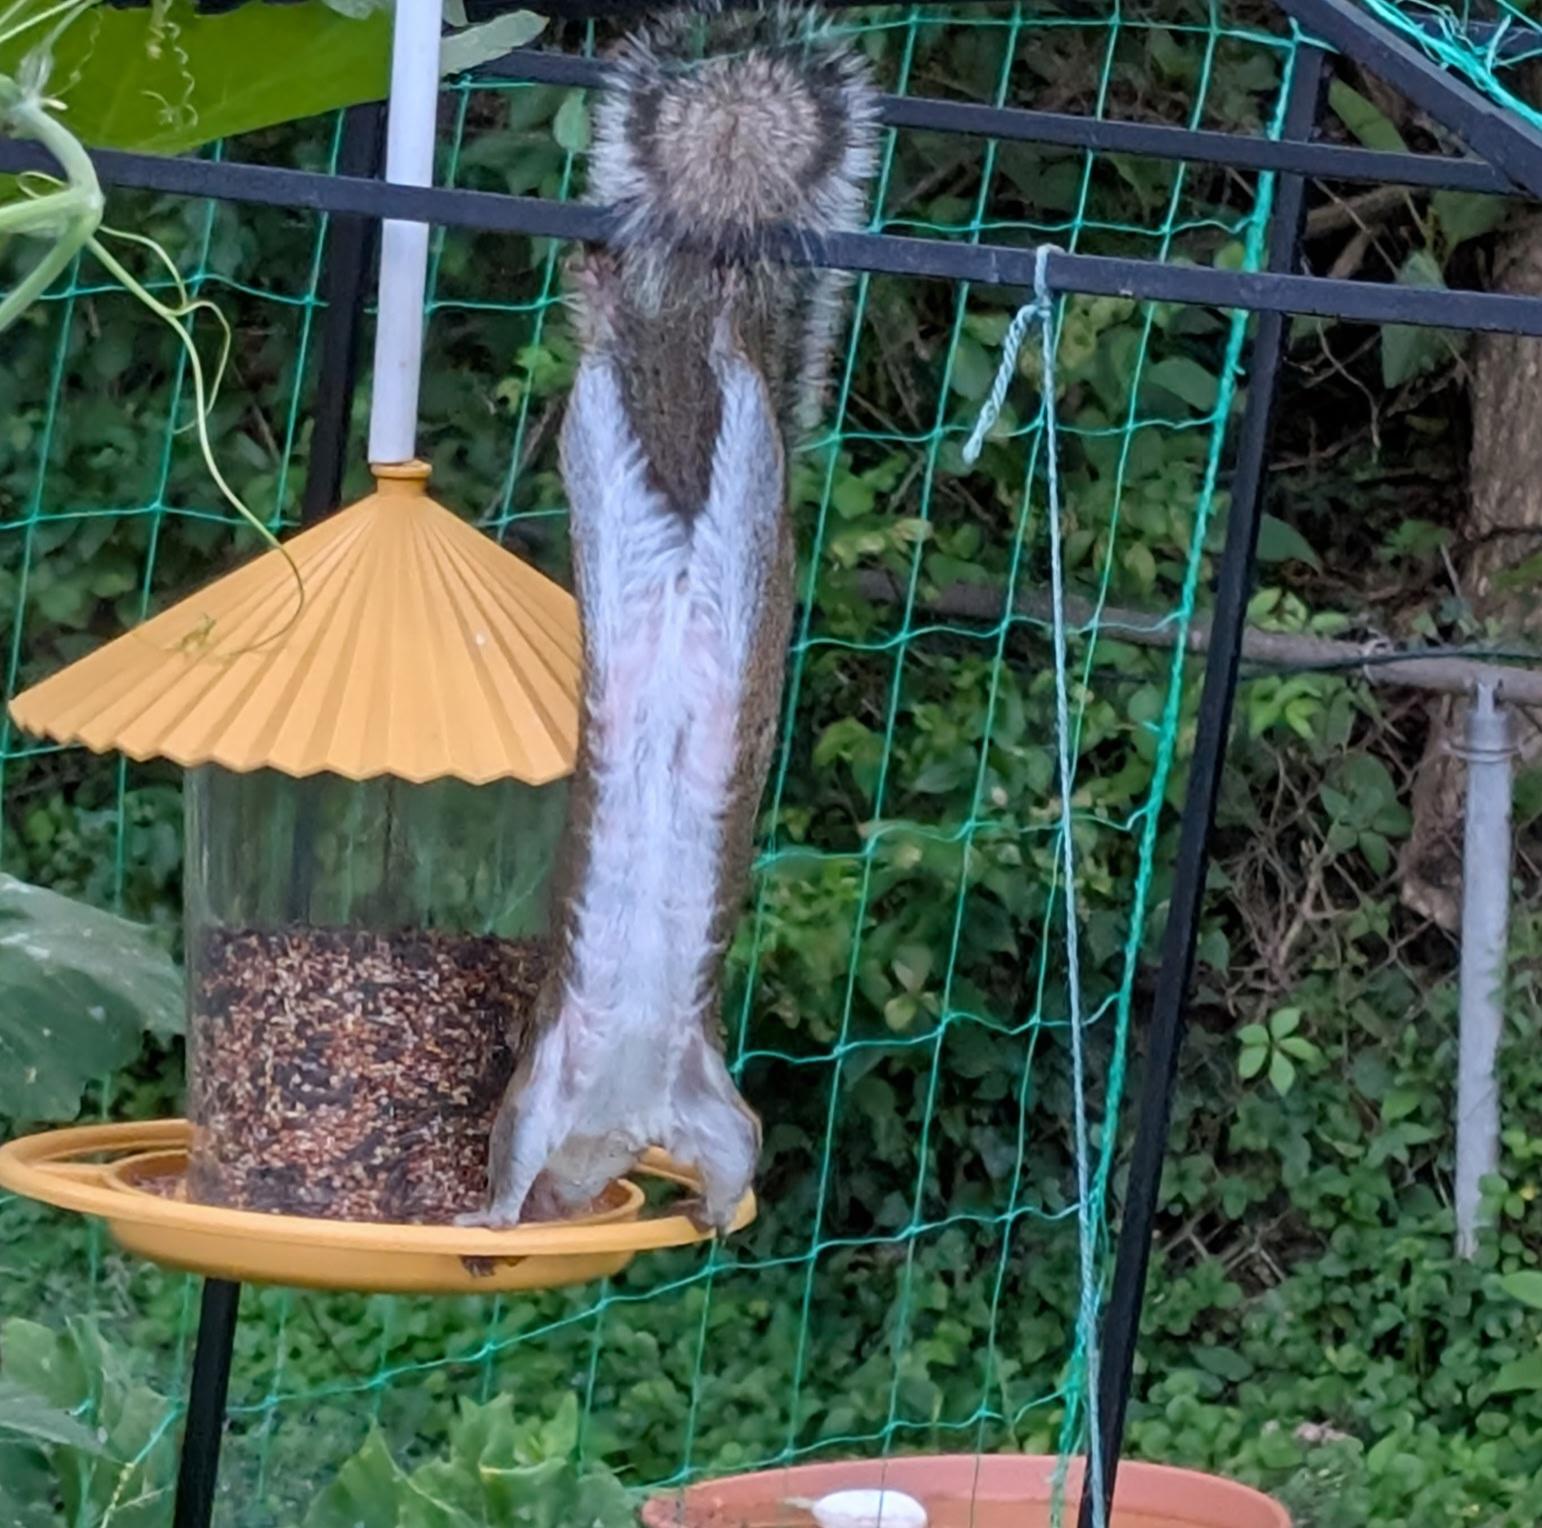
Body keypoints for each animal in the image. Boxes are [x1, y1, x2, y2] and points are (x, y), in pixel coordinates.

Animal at [463, 0, 878, 1234]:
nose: (565, 1208)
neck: (618, 1107)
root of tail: (688, 572)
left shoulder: (667, 1098)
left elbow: (734, 1145)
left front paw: (502, 1216)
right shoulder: (569, 1093)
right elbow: (716, 1146)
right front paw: (508, 1219)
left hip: (714, 506)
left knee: (719, 373)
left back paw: (703, 310)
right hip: (639, 480)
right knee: (662, 382)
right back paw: (664, 303)